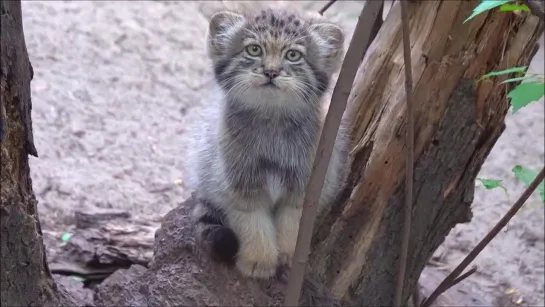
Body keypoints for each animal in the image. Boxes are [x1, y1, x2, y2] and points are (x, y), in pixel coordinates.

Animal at [185, 8, 350, 280]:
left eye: (293, 55)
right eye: (254, 50)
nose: (271, 72)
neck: (272, 122)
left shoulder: (303, 187)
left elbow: (292, 226)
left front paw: (289, 259)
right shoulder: (240, 186)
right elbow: (253, 224)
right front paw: (258, 261)